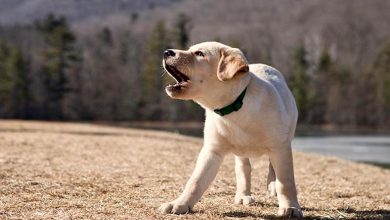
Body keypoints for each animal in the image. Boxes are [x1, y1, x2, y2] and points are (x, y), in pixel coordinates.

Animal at [159, 41, 304, 218]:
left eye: (199, 53)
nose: (166, 52)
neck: (234, 108)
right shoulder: (212, 150)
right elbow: (195, 181)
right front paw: (179, 204)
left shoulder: (280, 147)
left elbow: (286, 181)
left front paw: (290, 207)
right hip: (241, 152)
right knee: (244, 169)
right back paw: (243, 195)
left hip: (286, 137)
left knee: (272, 167)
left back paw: (272, 186)